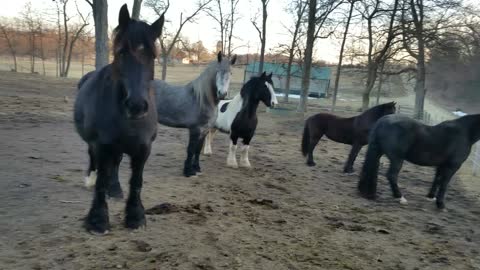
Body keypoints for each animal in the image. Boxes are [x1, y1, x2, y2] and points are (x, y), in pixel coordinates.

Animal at [73, 4, 165, 233]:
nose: (136, 105)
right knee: (96, 162)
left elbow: (136, 181)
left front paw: (135, 216)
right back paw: (92, 179)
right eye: (122, 52)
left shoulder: (143, 148)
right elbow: (101, 180)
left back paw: (115, 190)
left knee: (114, 165)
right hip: (96, 145)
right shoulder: (102, 145)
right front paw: (97, 220)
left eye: (153, 55)